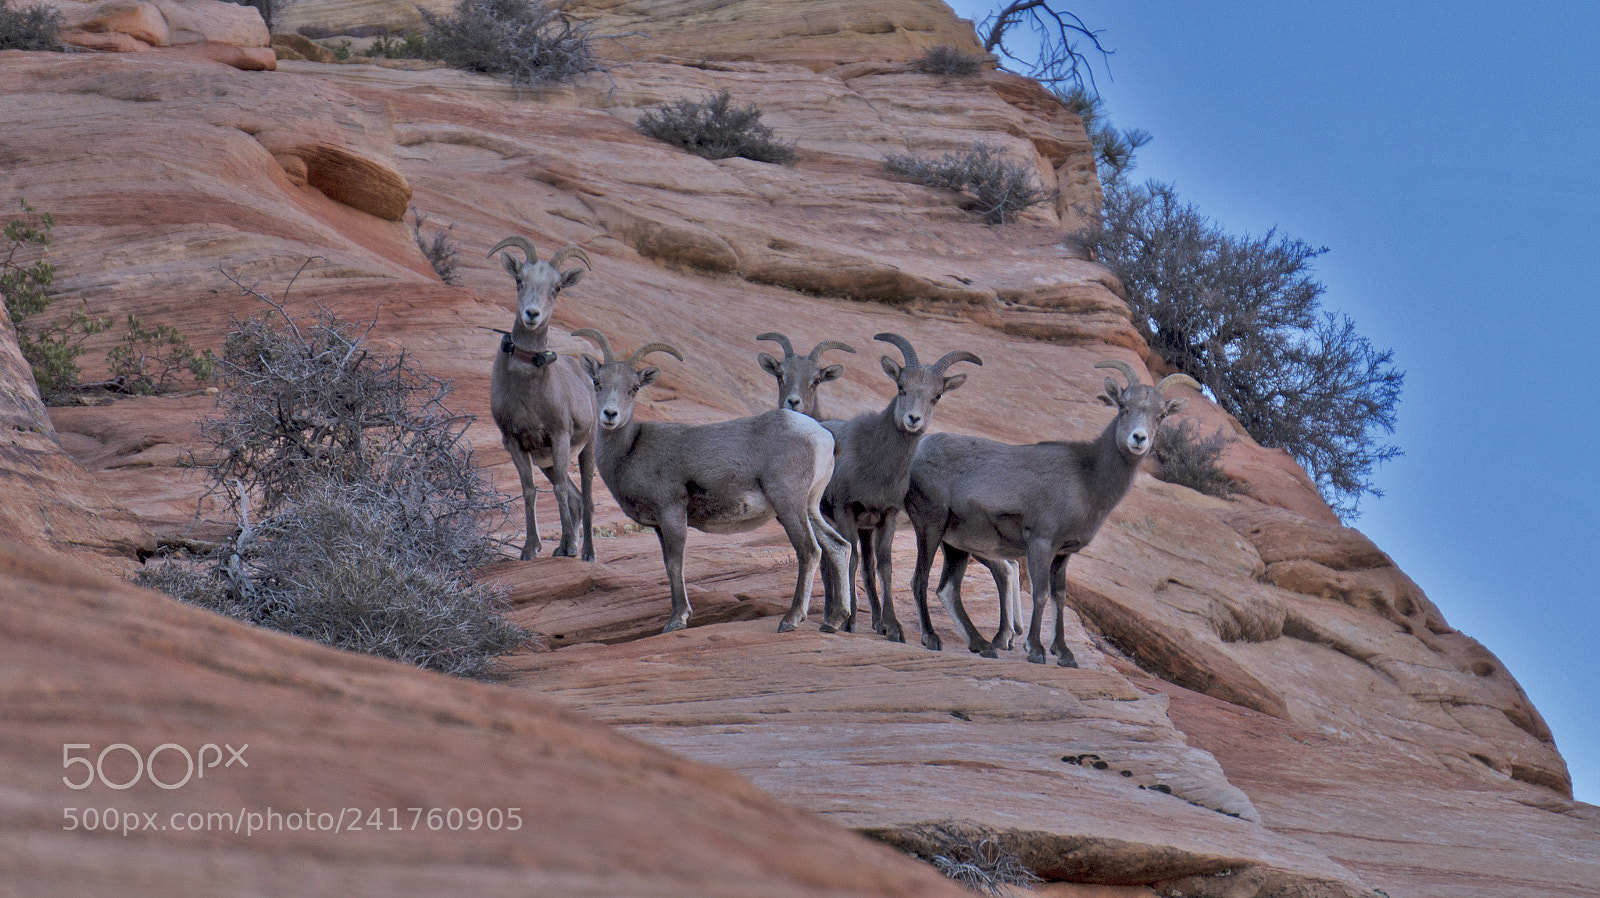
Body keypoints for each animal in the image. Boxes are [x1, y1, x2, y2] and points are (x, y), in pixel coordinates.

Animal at [487, 235, 597, 562]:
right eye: (519, 279)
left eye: (557, 288)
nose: (532, 314)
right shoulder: (515, 442)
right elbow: (529, 491)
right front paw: (529, 549)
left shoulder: (558, 435)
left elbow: (559, 489)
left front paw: (571, 546)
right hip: (546, 462)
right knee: (575, 497)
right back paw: (559, 548)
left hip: (587, 450)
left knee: (585, 497)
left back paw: (585, 552)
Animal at [574, 328, 853, 634]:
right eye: (597, 382)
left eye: (633, 387)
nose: (610, 415)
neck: (630, 449)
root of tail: (822, 437)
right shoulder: (658, 525)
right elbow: (667, 564)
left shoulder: (672, 514)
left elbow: (676, 564)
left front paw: (677, 619)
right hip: (810, 508)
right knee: (839, 547)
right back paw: (834, 621)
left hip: (789, 504)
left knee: (810, 551)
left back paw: (791, 619)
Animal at [817, 333, 982, 640]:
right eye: (901, 387)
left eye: (936, 396)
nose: (913, 419)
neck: (875, 464)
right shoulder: (845, 510)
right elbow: (851, 559)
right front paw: (848, 622)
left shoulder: (886, 516)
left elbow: (884, 566)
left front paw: (893, 628)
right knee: (828, 559)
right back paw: (831, 616)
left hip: (863, 528)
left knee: (859, 566)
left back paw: (872, 621)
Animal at [904, 360, 1202, 666]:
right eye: (1123, 406)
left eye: (1161, 415)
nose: (1138, 438)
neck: (1087, 479)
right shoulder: (1041, 542)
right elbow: (1041, 594)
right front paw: (1036, 650)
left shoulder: (1063, 553)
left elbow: (1060, 597)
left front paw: (1064, 654)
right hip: (931, 527)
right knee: (920, 580)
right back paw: (931, 639)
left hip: (957, 544)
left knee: (948, 590)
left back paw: (984, 645)